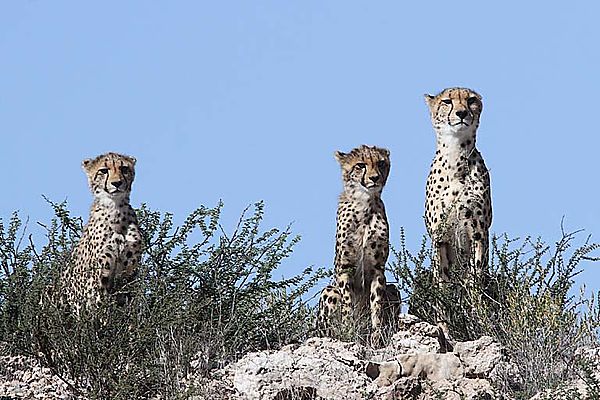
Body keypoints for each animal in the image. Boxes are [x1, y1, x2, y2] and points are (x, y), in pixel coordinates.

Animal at [62, 152, 143, 314]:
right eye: (104, 171)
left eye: (124, 168)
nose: (117, 183)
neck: (116, 210)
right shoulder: (99, 276)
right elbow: (100, 306)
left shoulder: (129, 275)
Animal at [318, 145, 398, 346]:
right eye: (360, 165)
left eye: (381, 163)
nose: (375, 178)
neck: (364, 204)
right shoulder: (345, 268)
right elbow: (348, 303)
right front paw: (348, 331)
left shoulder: (378, 269)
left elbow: (376, 304)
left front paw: (376, 337)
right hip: (329, 291)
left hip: (393, 289)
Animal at [424, 87, 490, 288]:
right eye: (447, 101)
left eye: (471, 100)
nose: (461, 113)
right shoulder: (439, 236)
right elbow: (442, 278)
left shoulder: (479, 233)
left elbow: (476, 275)